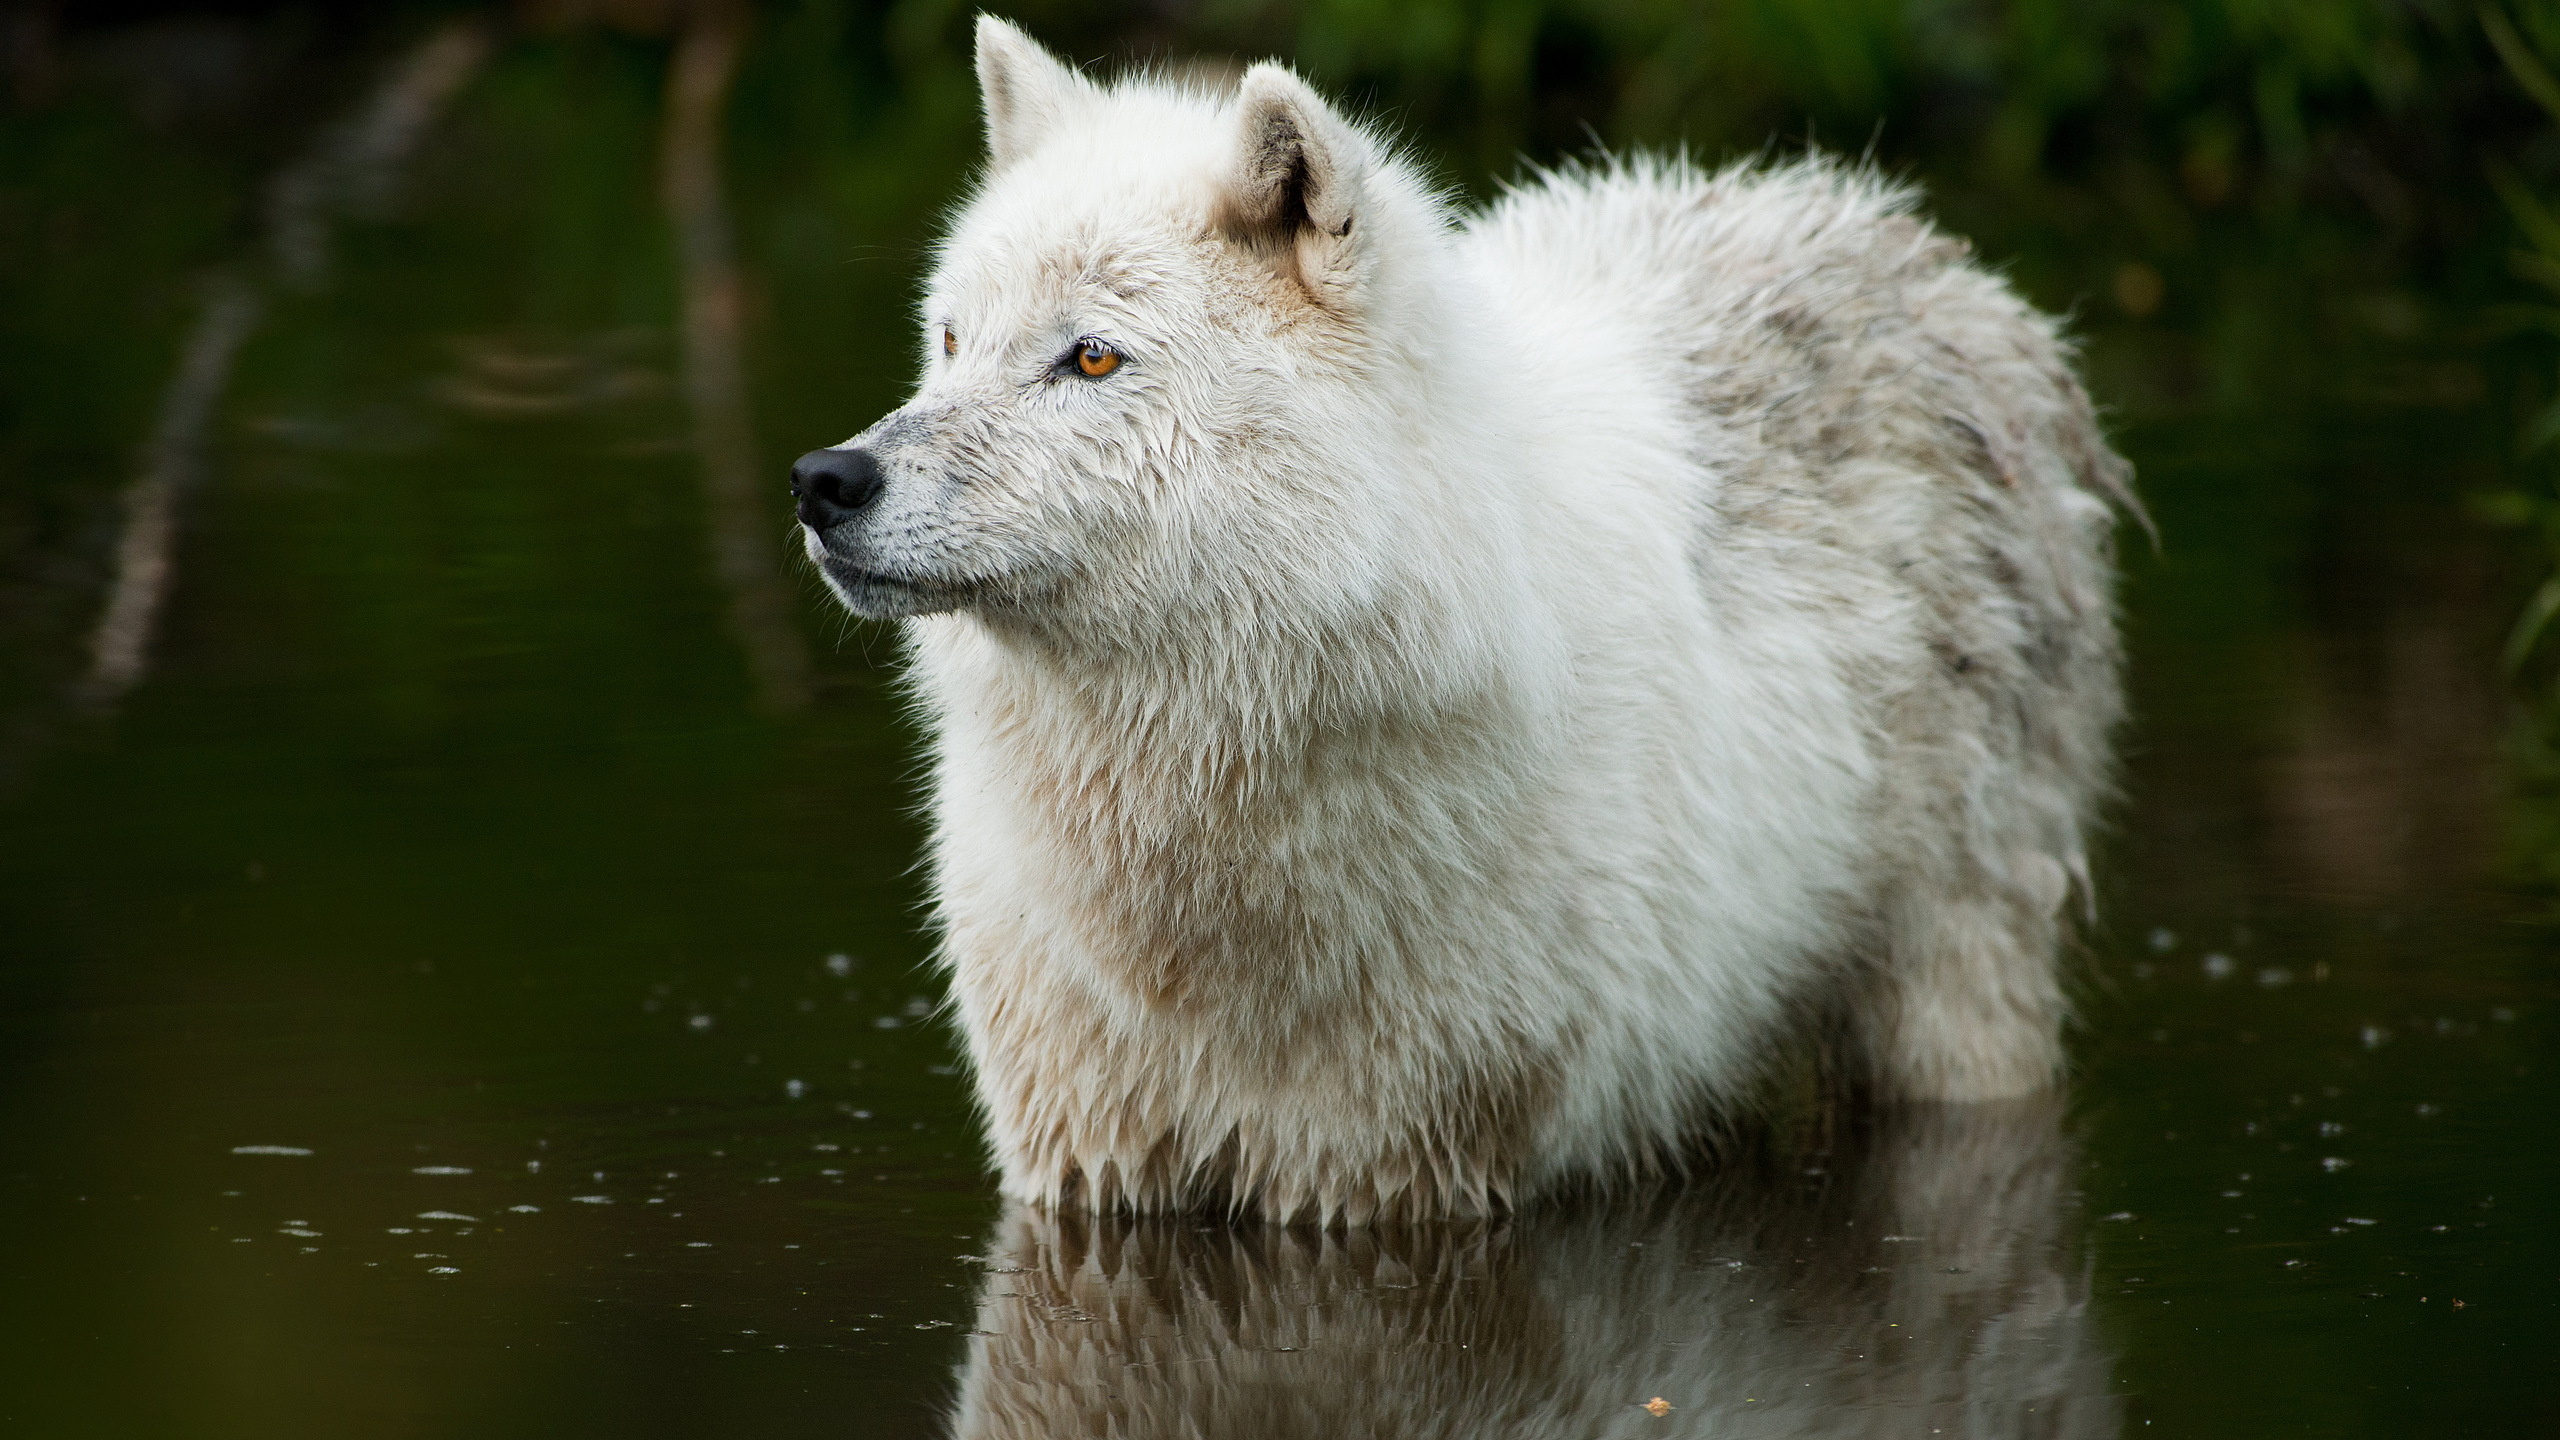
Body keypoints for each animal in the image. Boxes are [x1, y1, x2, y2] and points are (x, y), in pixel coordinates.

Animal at [798, 16, 2140, 1214]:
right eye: (950, 340)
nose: (826, 481)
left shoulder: (1410, 1170)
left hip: (1953, 1007)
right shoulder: (1083, 1159)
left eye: (1089, 359)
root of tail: (1910, 239)